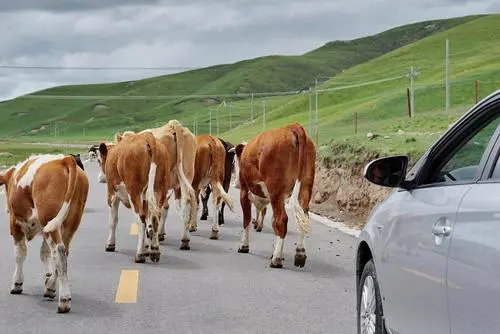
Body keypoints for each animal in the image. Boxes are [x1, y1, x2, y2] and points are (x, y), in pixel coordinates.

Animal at [0, 154, 89, 314]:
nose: (6, 209)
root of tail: (65, 159)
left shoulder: (15, 224)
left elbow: (20, 254)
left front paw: (17, 283)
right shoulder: (43, 228)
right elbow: (44, 253)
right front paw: (48, 281)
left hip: (49, 219)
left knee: (59, 252)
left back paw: (64, 300)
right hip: (69, 223)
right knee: (63, 252)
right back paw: (51, 288)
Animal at [231, 122, 316, 268]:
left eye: (234, 162)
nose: (235, 183)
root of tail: (292, 127)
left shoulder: (245, 192)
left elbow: (247, 220)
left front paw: (244, 246)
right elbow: (272, 223)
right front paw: (278, 252)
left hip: (276, 190)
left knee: (281, 219)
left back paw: (276, 260)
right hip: (304, 188)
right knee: (303, 217)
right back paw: (300, 253)